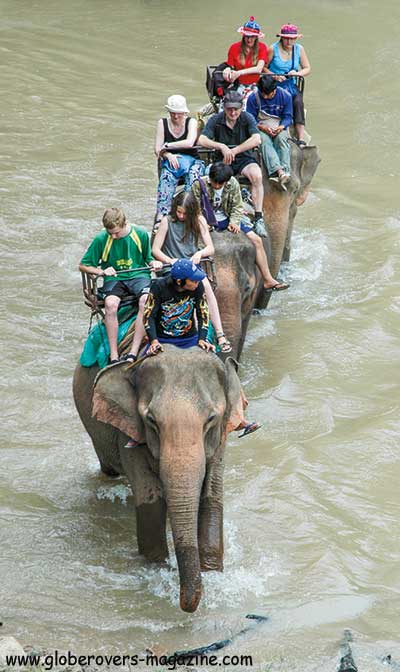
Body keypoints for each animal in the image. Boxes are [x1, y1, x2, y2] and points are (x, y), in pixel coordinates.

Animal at [73, 346, 245, 616]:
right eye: (152, 421)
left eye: (211, 419)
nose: (186, 605)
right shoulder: (128, 431)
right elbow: (151, 501)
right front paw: (158, 571)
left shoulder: (222, 439)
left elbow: (212, 497)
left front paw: (212, 573)